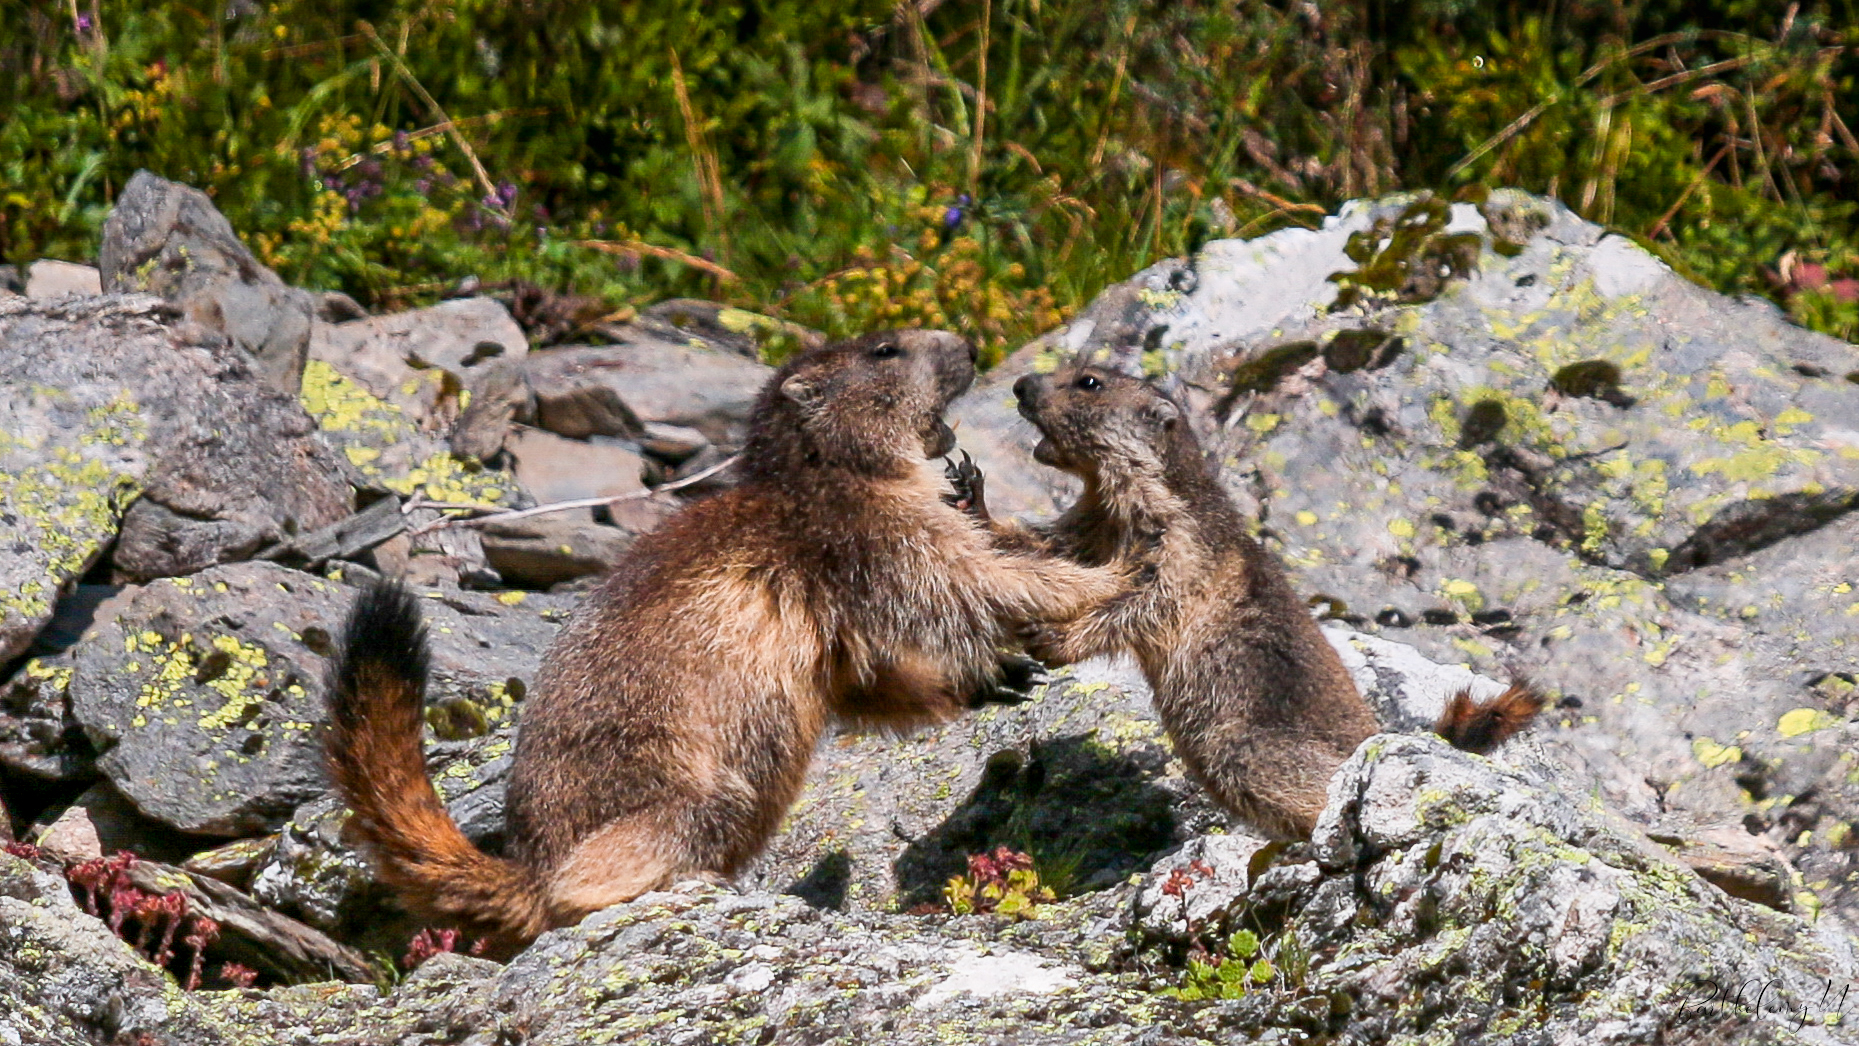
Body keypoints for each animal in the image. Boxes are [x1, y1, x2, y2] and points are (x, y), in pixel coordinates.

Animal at [326, 330, 1129, 953]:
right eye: (884, 351)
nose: (969, 344)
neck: (829, 466)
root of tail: (529, 867)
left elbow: (859, 669)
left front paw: (996, 674)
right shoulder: (869, 527)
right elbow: (962, 573)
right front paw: (1109, 576)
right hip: (687, 793)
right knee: (583, 886)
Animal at [975, 362, 1543, 840]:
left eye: (1089, 382)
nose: (1020, 384)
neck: (1121, 492)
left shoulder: (1179, 543)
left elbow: (1147, 602)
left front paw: (1055, 637)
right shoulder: (1092, 520)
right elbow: (1054, 550)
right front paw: (975, 503)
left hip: (1247, 750)